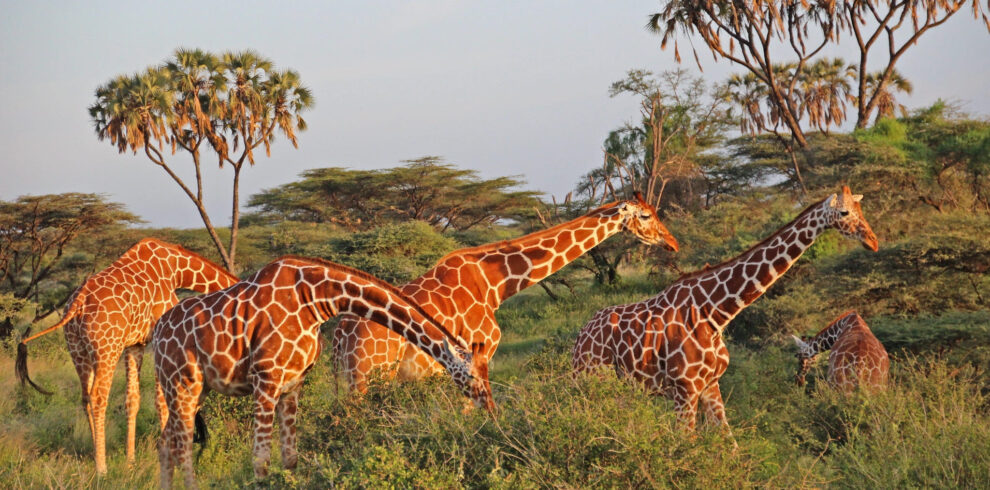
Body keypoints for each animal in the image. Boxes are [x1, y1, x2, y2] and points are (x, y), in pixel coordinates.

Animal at [15, 237, 236, 474]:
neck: (176, 269)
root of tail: (77, 303)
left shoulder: (135, 344)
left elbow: (133, 399)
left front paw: (131, 460)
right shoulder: (160, 339)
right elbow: (161, 401)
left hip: (77, 349)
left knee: (85, 397)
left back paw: (94, 451)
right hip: (107, 349)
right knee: (98, 397)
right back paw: (101, 466)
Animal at [155, 255, 496, 488]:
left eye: (487, 372)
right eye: (472, 377)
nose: (492, 411)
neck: (316, 299)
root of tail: (157, 331)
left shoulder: (293, 382)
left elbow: (290, 458)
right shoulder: (265, 378)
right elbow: (261, 461)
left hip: (193, 388)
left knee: (165, 442)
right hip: (182, 382)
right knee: (182, 446)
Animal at [334, 193, 680, 392]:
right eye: (646, 215)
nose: (673, 243)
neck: (494, 286)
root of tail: (341, 332)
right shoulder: (481, 352)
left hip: (349, 379)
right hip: (369, 376)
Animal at [568, 186, 880, 430]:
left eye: (860, 210)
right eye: (844, 213)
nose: (873, 241)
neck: (716, 313)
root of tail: (581, 334)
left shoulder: (710, 385)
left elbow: (730, 447)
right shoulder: (685, 390)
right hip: (589, 375)